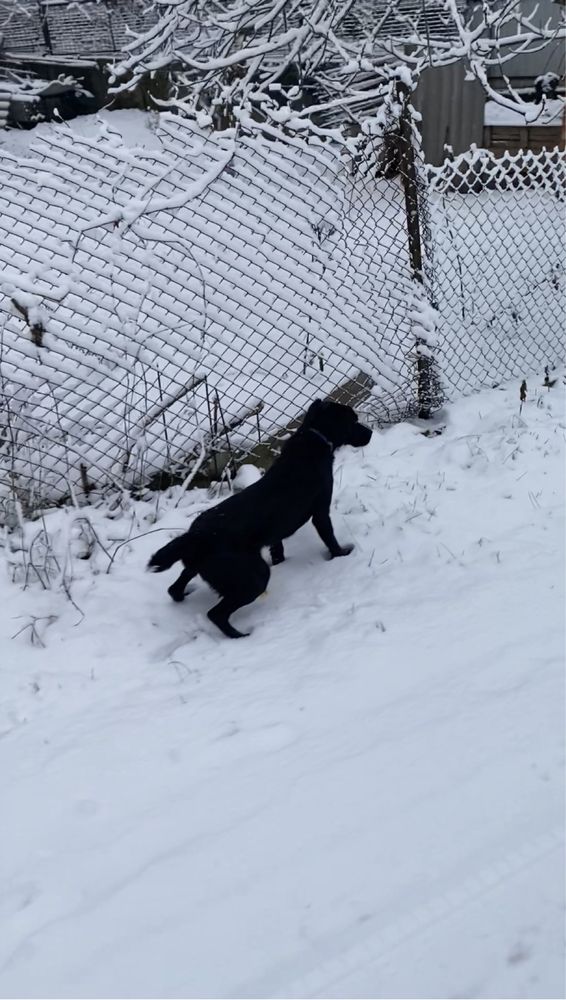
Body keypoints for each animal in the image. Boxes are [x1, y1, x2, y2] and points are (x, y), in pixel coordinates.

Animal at [149, 394, 374, 636]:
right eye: (353, 421)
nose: (370, 433)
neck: (313, 437)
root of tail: (194, 537)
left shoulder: (277, 534)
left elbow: (278, 549)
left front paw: (282, 561)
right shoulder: (321, 511)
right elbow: (330, 538)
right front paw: (342, 554)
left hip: (200, 567)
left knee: (174, 588)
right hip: (254, 577)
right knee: (216, 614)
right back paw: (241, 636)